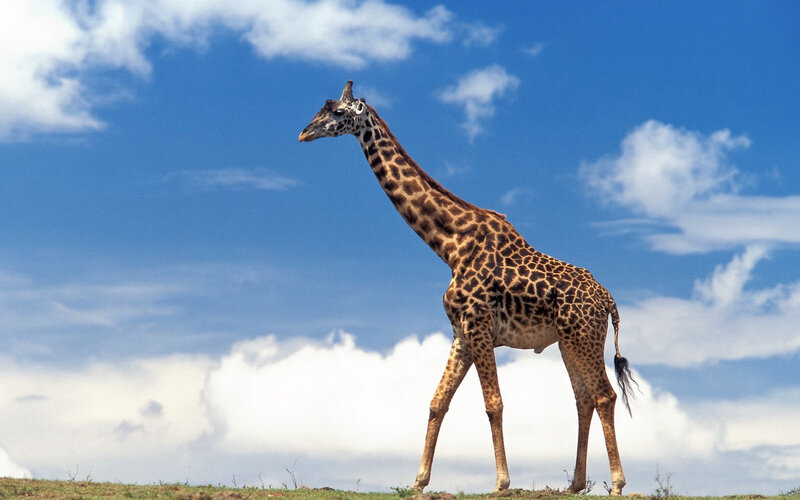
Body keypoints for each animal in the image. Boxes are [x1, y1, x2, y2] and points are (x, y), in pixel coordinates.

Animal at [299, 81, 636, 495]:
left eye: (336, 112)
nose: (304, 132)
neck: (449, 245)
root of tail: (609, 301)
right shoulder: (461, 332)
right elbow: (437, 402)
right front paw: (419, 482)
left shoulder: (478, 326)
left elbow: (493, 403)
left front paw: (501, 483)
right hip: (569, 340)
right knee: (583, 398)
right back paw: (574, 484)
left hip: (584, 336)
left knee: (604, 395)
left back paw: (617, 484)